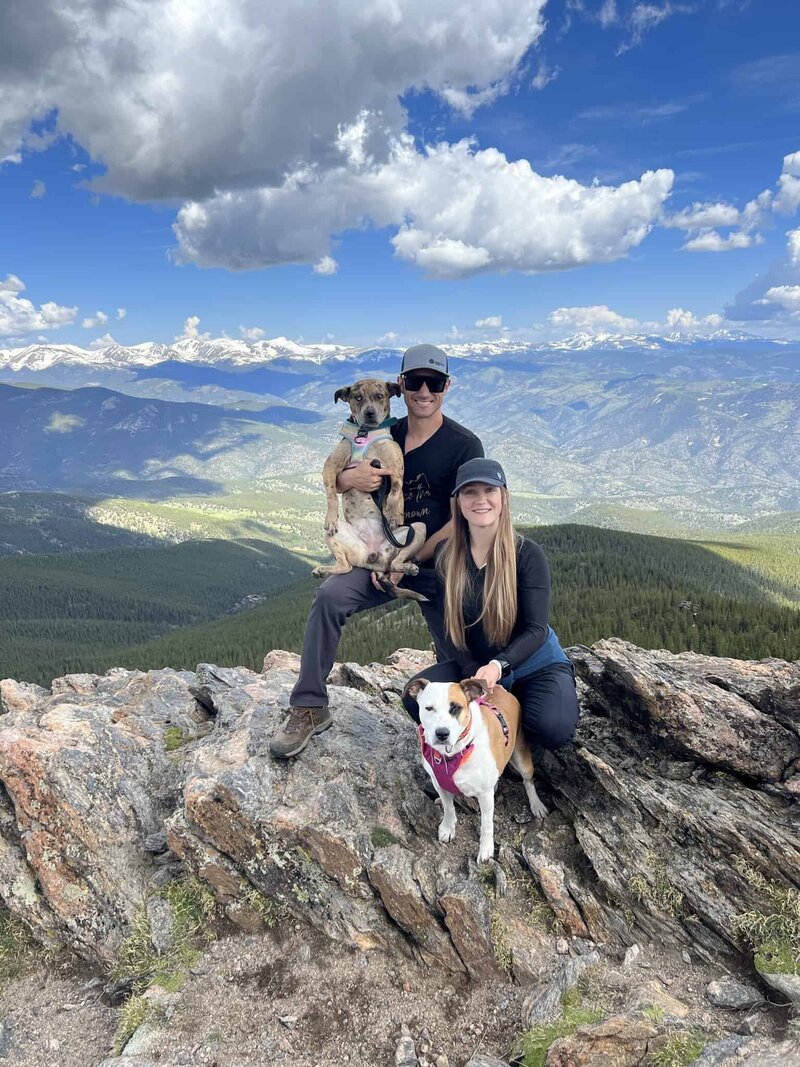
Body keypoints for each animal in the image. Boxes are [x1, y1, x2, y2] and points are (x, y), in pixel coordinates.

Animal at [309, 379, 428, 588]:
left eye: (380, 396)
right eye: (357, 397)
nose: (369, 413)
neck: (365, 434)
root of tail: (374, 559)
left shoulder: (396, 470)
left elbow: (395, 493)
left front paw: (393, 515)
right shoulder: (330, 466)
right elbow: (331, 495)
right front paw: (330, 517)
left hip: (417, 530)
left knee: (396, 563)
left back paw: (408, 567)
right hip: (337, 538)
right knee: (345, 566)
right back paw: (322, 570)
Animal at [407, 678, 550, 862]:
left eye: (456, 707)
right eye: (429, 708)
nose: (442, 733)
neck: (454, 752)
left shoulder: (485, 795)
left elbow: (487, 824)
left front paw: (486, 849)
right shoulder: (439, 783)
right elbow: (448, 807)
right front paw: (448, 827)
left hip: (521, 757)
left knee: (528, 781)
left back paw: (536, 804)